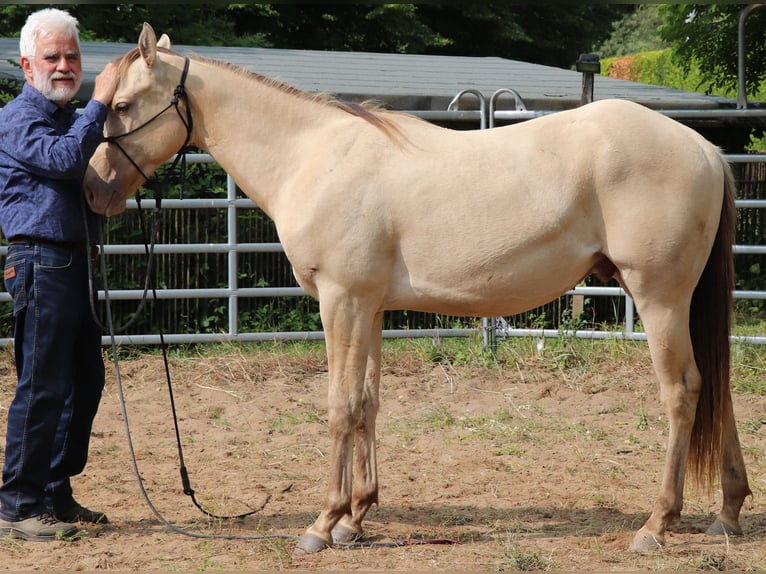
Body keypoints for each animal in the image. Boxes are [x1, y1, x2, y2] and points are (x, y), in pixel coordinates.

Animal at [84, 23, 751, 554]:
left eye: (123, 104)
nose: (90, 191)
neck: (312, 156)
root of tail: (704, 149)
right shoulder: (371, 307)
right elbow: (367, 403)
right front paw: (356, 518)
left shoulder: (343, 302)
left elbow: (339, 406)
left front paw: (323, 524)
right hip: (685, 303)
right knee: (717, 388)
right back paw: (727, 514)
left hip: (660, 298)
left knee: (684, 392)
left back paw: (656, 525)